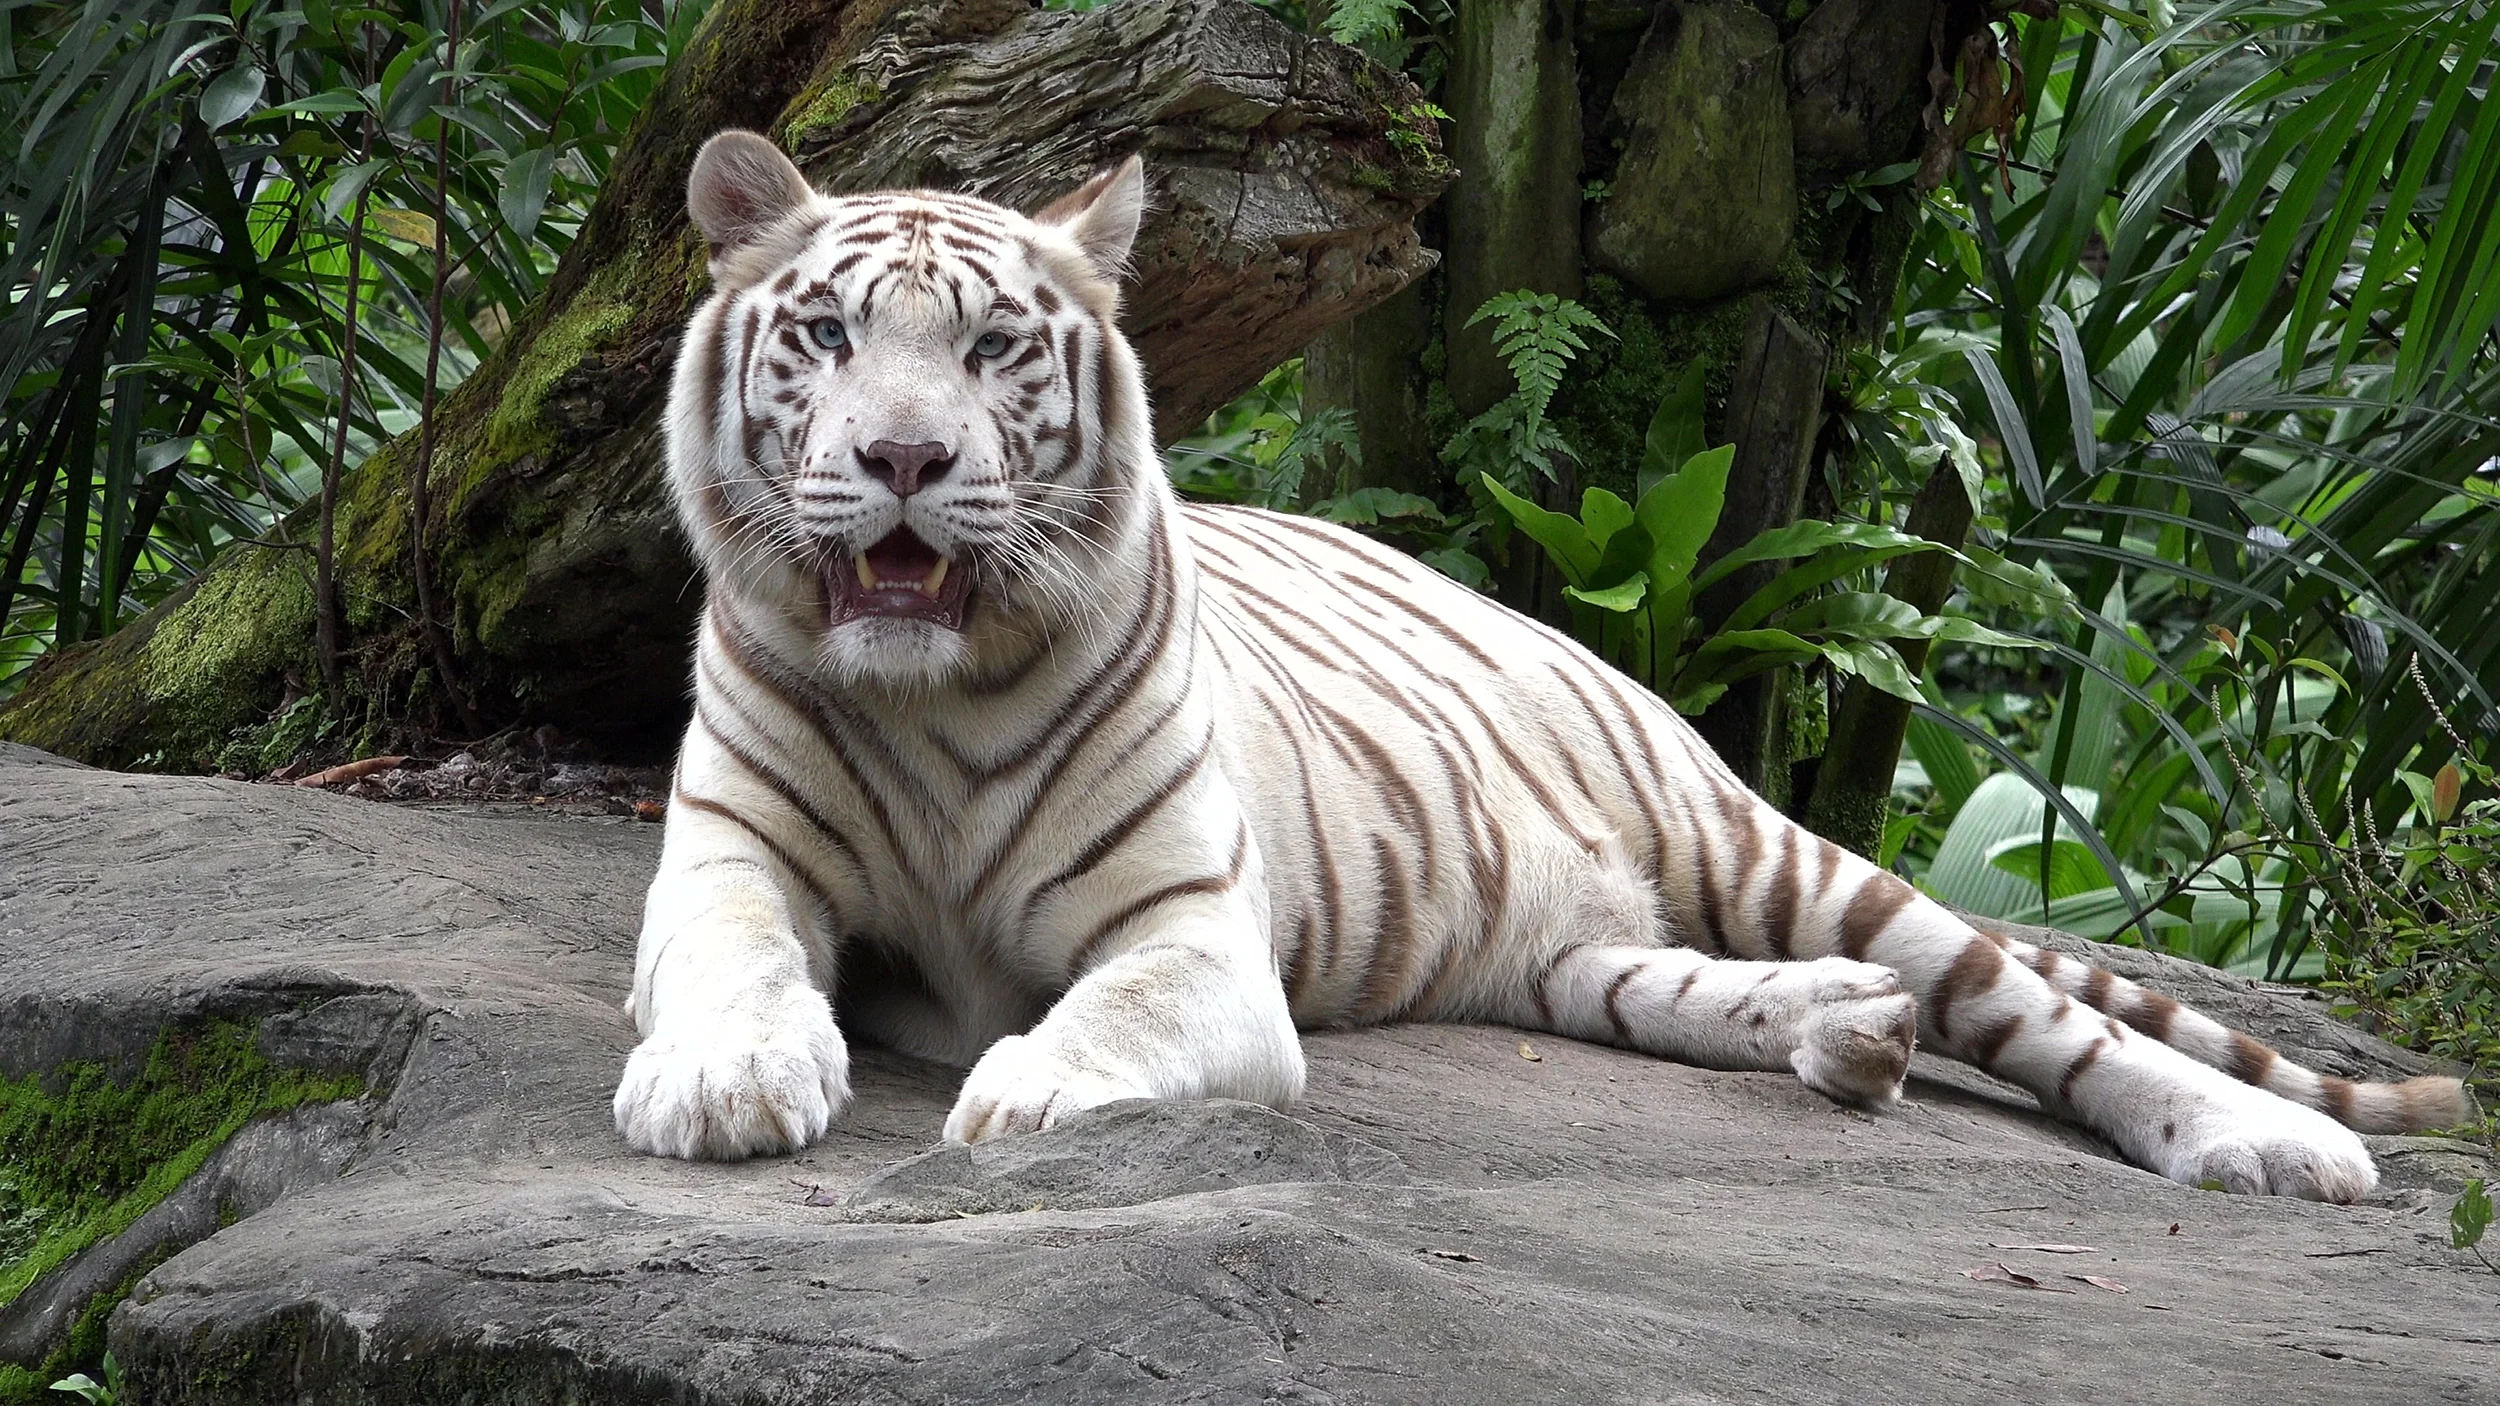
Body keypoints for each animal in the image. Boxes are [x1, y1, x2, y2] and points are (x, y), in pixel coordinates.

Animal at [620, 136, 2460, 1200]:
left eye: (995, 346)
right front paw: (719, 1081)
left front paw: (1021, 1104)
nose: (907, 459)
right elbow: (729, 959)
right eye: (827, 336)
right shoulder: (730, 857)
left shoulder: (1193, 934)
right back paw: (1847, 1037)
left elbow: (1112, 1011)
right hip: (1570, 951)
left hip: (1780, 848)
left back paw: (2274, 1142)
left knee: (2049, 1017)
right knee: (1691, 985)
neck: (933, 692)